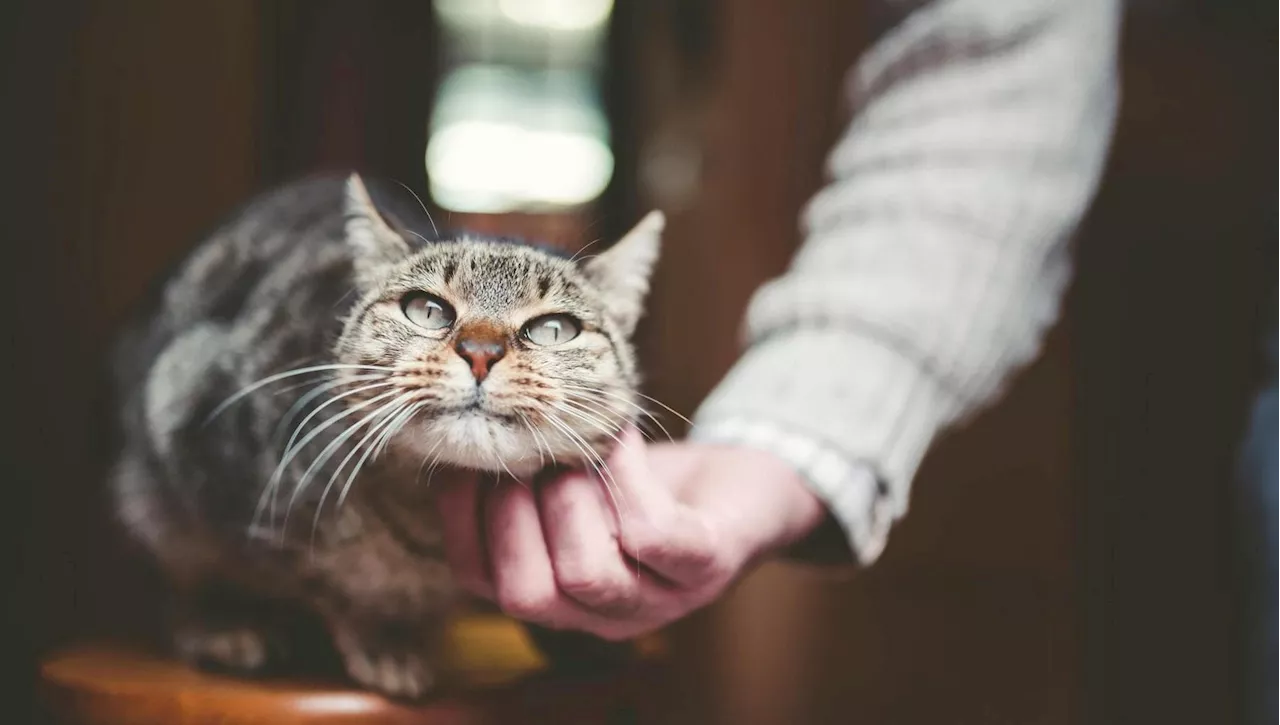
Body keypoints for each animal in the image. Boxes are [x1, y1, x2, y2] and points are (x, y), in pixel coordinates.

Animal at [107, 172, 660, 701]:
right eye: (427, 309)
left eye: (553, 329)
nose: (480, 352)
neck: (428, 524)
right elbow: (304, 579)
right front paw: (383, 639)